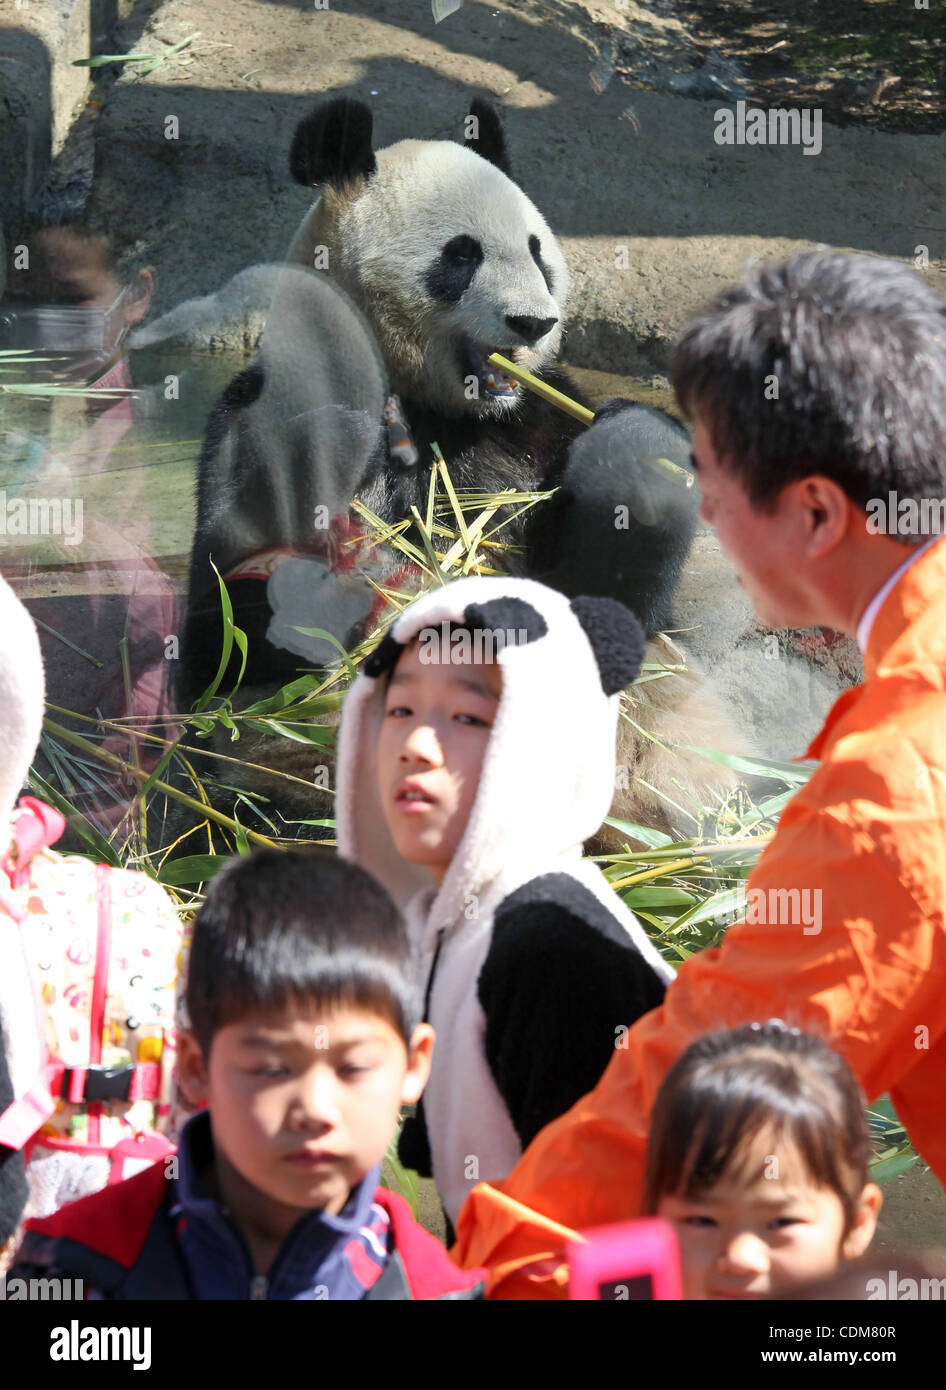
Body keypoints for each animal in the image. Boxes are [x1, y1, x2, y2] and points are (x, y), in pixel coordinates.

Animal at [181, 97, 744, 845]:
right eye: (462, 254)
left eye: (538, 252)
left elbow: (614, 605)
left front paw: (635, 451)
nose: (534, 323)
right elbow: (230, 621)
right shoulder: (260, 414)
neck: (449, 412)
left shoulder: (538, 427)